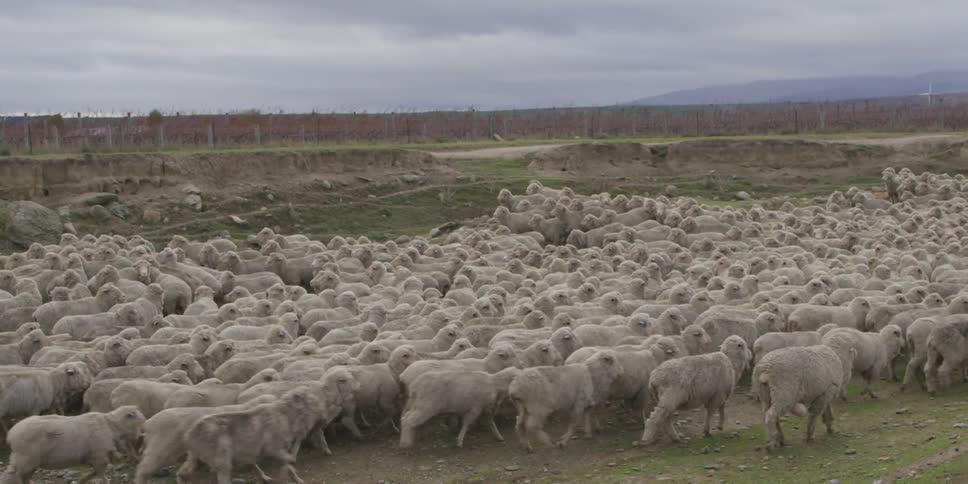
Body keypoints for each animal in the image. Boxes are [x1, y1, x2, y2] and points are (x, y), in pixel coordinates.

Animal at [2, 406, 145, 484]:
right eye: (140, 420)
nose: (141, 436)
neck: (112, 426)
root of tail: (11, 433)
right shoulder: (99, 457)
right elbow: (102, 476)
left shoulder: (95, 458)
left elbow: (93, 473)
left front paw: (82, 480)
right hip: (24, 459)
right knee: (11, 476)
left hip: (30, 462)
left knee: (23, 477)